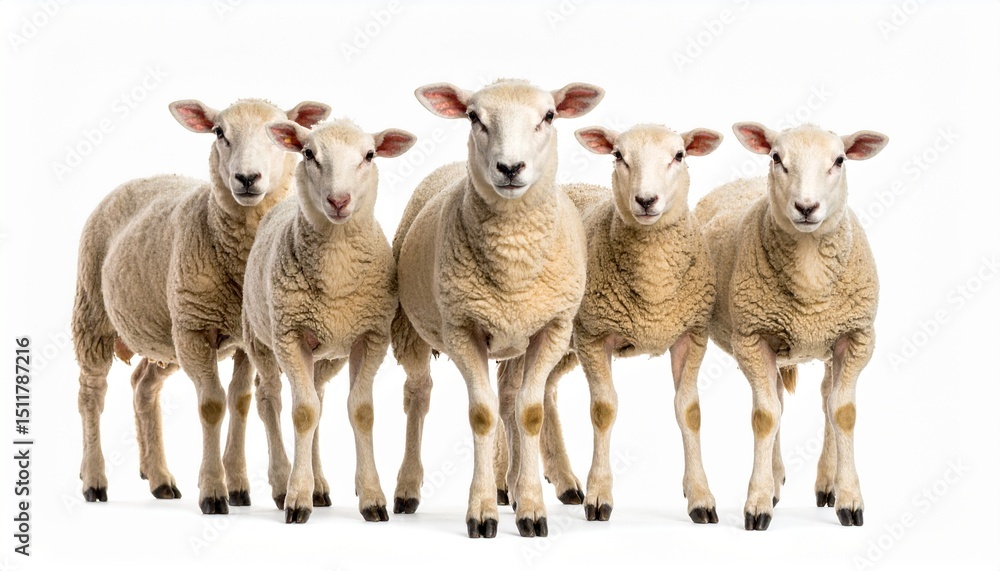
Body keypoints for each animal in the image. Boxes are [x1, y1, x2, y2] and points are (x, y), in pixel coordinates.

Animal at [73, 98, 331, 513]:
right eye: (219, 133)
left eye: (276, 133)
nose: (246, 178)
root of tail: (134, 180)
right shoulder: (195, 331)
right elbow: (212, 404)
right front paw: (213, 490)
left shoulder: (243, 338)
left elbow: (239, 401)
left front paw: (239, 484)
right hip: (93, 312)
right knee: (91, 393)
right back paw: (94, 480)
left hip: (166, 332)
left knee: (143, 385)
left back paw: (159, 477)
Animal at [242, 118, 415, 524]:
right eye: (308, 154)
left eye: (369, 155)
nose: (339, 201)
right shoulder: (289, 334)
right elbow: (303, 413)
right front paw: (297, 499)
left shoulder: (371, 335)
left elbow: (360, 411)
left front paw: (372, 498)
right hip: (261, 337)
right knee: (271, 399)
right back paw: (282, 483)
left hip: (328, 354)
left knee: (318, 396)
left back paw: (319, 485)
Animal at [391, 79, 604, 538]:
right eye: (474, 117)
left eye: (548, 116)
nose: (509, 168)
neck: (513, 258)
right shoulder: (461, 328)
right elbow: (483, 414)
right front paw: (482, 510)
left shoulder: (551, 326)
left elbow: (529, 411)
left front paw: (531, 510)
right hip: (408, 328)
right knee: (418, 395)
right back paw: (407, 488)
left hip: (517, 337)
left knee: (510, 398)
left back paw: (518, 485)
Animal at [515, 123, 724, 524]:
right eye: (618, 156)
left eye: (679, 155)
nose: (646, 200)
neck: (653, 291)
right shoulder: (594, 337)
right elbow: (604, 409)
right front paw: (600, 495)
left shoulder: (691, 335)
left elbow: (689, 411)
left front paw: (701, 496)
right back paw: (516, 488)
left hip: (562, 341)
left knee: (541, 390)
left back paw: (561, 480)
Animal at [694, 122, 888, 531]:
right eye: (777, 158)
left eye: (839, 160)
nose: (806, 207)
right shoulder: (752, 340)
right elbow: (766, 416)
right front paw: (758, 502)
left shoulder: (857, 337)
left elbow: (843, 412)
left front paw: (850, 500)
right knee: (778, 401)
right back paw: (776, 479)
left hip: (829, 342)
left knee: (827, 398)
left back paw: (827, 483)